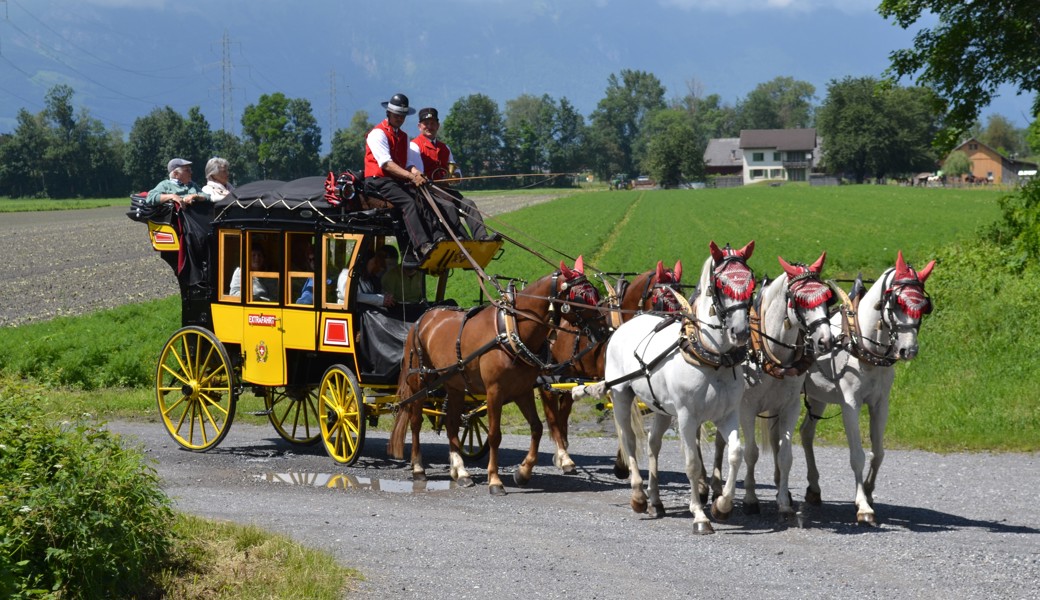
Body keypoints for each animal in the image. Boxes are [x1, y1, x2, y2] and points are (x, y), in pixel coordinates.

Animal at [388, 254, 603, 492]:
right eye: (580, 296)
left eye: (595, 292)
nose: (604, 328)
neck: (511, 330)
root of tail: (422, 319)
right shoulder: (494, 392)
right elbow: (494, 435)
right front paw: (495, 480)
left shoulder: (522, 390)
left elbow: (537, 428)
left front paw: (523, 472)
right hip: (419, 380)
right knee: (415, 422)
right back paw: (419, 468)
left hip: (454, 384)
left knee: (452, 423)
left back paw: (460, 472)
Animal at [536, 259, 682, 474]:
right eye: (662, 297)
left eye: (681, 292)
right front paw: (623, 463)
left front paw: (622, 462)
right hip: (547, 376)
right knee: (553, 416)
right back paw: (563, 457)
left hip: (568, 376)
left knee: (563, 415)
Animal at [578, 240, 757, 532]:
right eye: (720, 284)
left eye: (750, 282)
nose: (740, 332)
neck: (712, 358)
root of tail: (626, 324)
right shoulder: (686, 416)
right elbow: (692, 463)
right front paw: (700, 515)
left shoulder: (727, 414)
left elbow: (735, 454)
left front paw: (722, 505)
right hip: (621, 394)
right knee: (629, 441)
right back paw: (639, 496)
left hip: (660, 408)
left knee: (653, 444)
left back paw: (656, 500)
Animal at [707, 250, 836, 517]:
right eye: (799, 300)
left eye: (827, 297)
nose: (825, 341)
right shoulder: (746, 408)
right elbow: (751, 452)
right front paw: (750, 498)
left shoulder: (789, 407)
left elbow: (785, 453)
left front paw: (784, 502)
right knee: (719, 441)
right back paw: (713, 487)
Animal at [798, 250, 940, 522]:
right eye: (896, 303)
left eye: (923, 307)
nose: (908, 350)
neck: (859, 341)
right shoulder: (850, 404)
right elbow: (857, 455)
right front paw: (863, 506)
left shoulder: (880, 403)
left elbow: (878, 452)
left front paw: (870, 491)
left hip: (818, 396)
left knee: (806, 433)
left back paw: (814, 489)